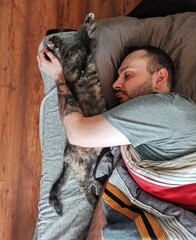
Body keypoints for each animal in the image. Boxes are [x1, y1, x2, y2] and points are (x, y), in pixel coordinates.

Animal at [45, 13, 106, 216]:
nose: (54, 34)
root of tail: (66, 157)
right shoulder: (72, 69)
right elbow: (82, 39)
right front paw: (86, 23)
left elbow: (82, 40)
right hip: (85, 164)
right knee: (82, 186)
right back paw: (94, 202)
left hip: (87, 165)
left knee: (85, 182)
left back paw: (97, 187)